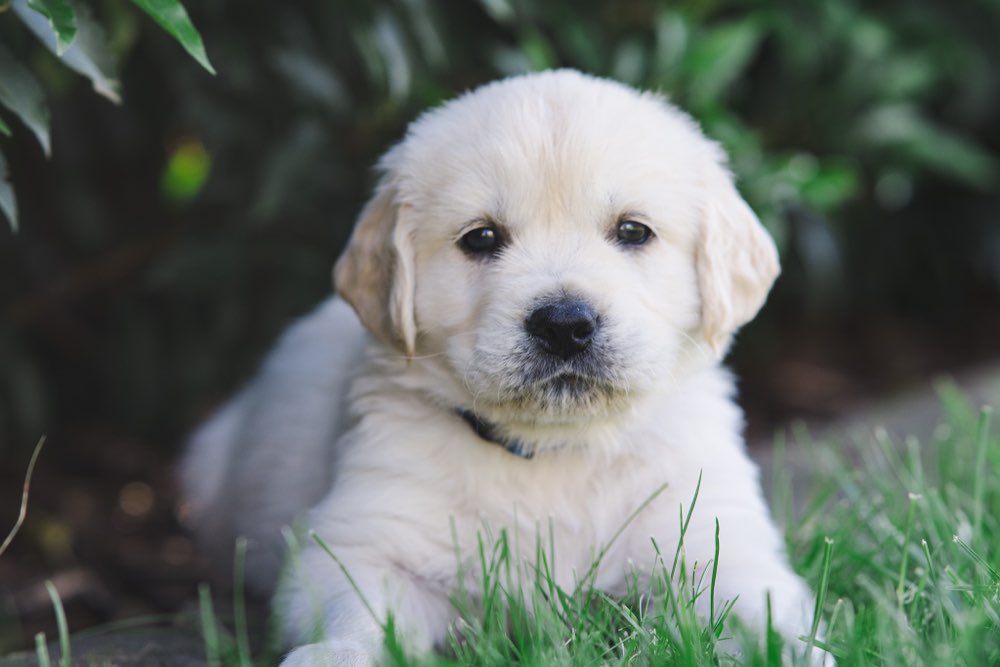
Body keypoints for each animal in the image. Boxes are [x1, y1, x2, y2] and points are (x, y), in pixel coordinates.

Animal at [184, 69, 824, 667]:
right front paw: (336, 655)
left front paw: (794, 651)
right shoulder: (363, 541)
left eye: (632, 230)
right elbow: (358, 613)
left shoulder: (717, 539)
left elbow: (756, 610)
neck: (555, 453)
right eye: (481, 237)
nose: (564, 325)